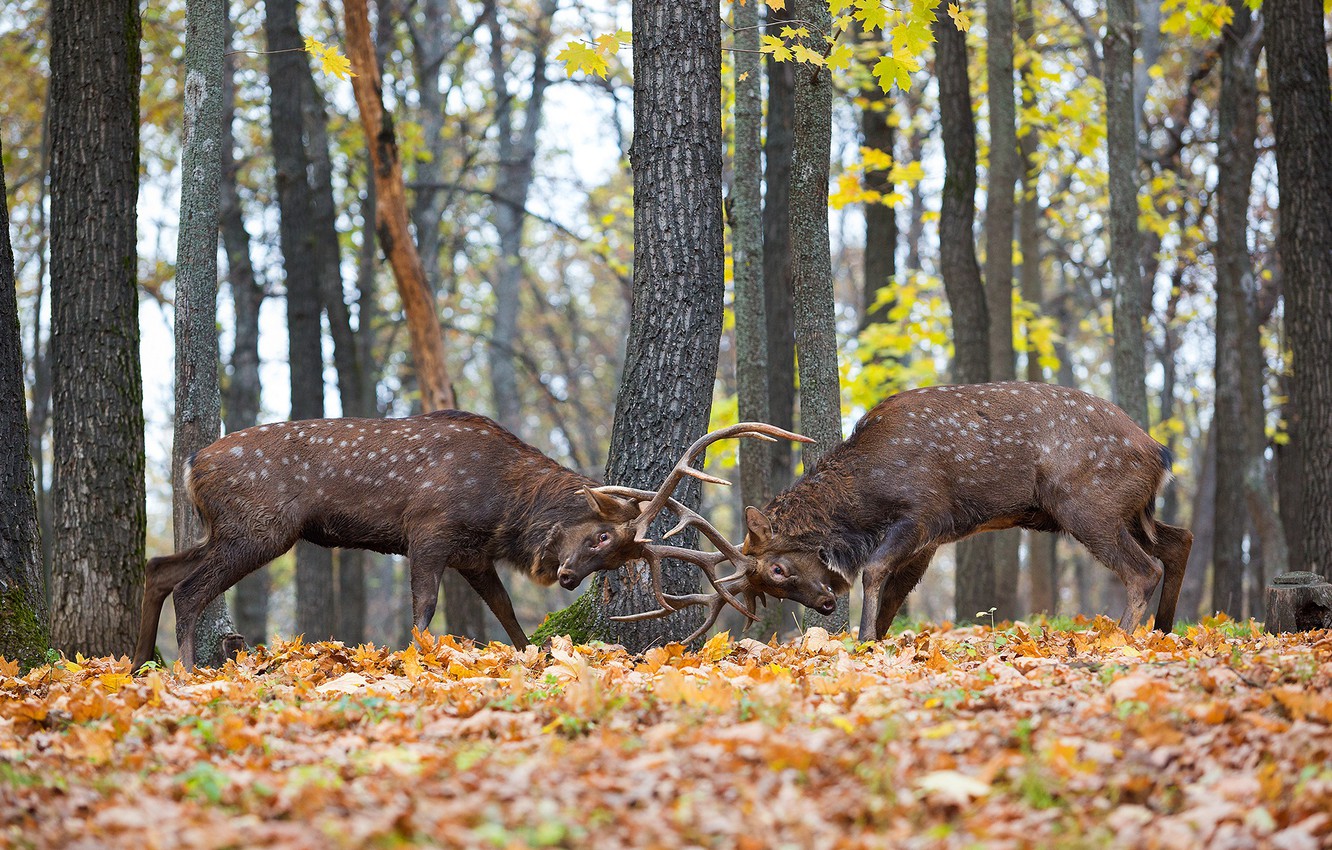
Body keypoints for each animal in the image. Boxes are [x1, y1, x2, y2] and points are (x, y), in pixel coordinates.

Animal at [132, 410, 806, 669]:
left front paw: (531, 654)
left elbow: (506, 613)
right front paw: (418, 661)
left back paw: (140, 663)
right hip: (259, 527)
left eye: (614, 555)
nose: (566, 579)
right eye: (600, 536)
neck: (504, 509)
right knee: (190, 589)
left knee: (159, 567)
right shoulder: (428, 530)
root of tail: (191, 466)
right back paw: (186, 672)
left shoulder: (475, 556)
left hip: (228, 528)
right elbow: (423, 609)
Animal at [608, 382, 1194, 643]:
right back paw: (1165, 631)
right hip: (1131, 508)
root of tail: (1159, 453)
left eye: (775, 568)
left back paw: (1118, 638)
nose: (825, 604)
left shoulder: (925, 513)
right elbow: (893, 593)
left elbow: (873, 571)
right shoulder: (932, 540)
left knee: (1144, 567)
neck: (865, 496)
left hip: (1087, 502)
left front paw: (862, 640)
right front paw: (877, 640)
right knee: (1179, 539)